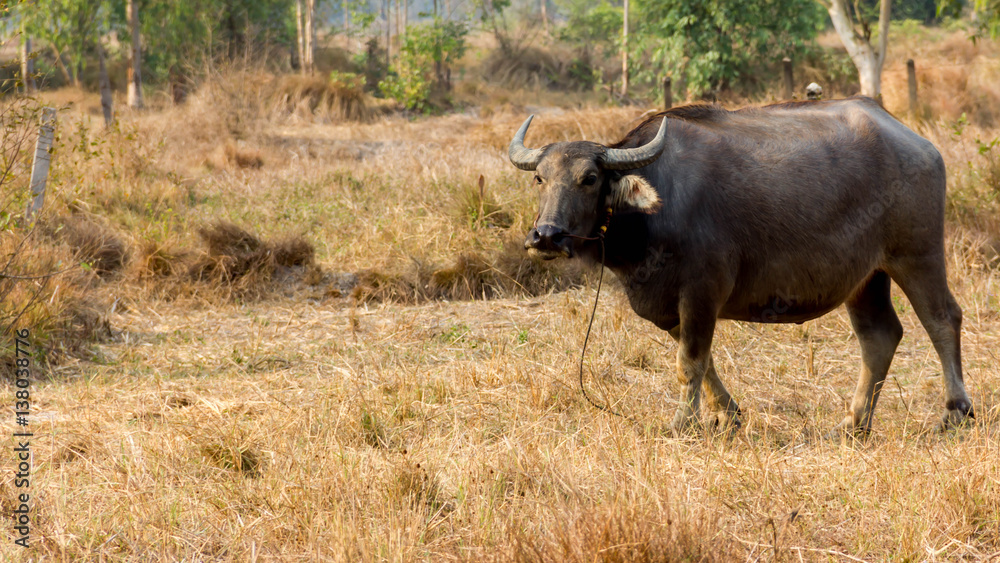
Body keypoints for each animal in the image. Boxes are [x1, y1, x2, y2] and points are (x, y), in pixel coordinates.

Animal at [504, 97, 972, 434]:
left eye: (589, 179)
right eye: (540, 178)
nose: (545, 236)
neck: (656, 208)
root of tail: (918, 144)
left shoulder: (701, 291)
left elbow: (690, 361)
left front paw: (683, 423)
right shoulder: (673, 304)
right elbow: (701, 359)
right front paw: (727, 414)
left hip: (916, 255)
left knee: (942, 319)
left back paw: (954, 412)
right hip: (866, 278)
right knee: (879, 337)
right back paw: (854, 423)